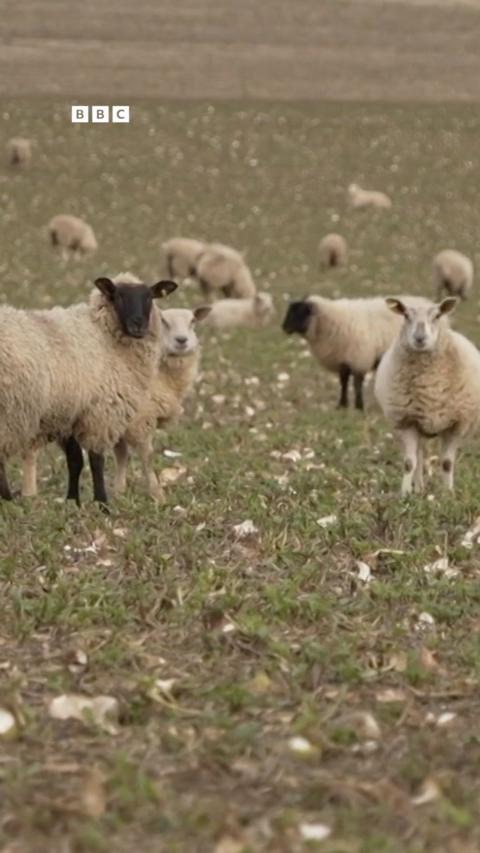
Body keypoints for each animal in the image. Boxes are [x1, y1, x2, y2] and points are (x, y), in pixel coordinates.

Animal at [1, 275, 177, 505]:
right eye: (118, 296)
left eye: (149, 296)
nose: (138, 325)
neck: (103, 334)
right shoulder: (101, 412)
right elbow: (96, 459)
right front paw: (102, 502)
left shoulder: (68, 414)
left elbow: (75, 460)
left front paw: (72, 501)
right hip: (9, 412)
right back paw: (6, 499)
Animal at [113, 305, 211, 498]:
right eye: (163, 321)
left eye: (192, 321)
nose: (182, 340)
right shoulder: (140, 418)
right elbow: (147, 456)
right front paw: (157, 494)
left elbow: (121, 454)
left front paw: (118, 491)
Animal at [282, 295, 410, 410]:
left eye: (299, 313)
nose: (284, 328)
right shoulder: (342, 360)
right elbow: (343, 383)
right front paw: (342, 405)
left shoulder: (359, 359)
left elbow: (357, 385)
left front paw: (359, 407)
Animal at [374, 296, 480, 495]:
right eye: (406, 315)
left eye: (437, 315)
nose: (419, 338)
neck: (430, 386)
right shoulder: (407, 421)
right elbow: (409, 463)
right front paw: (405, 493)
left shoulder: (457, 425)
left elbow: (447, 463)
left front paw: (448, 493)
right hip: (418, 424)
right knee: (419, 455)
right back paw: (418, 488)